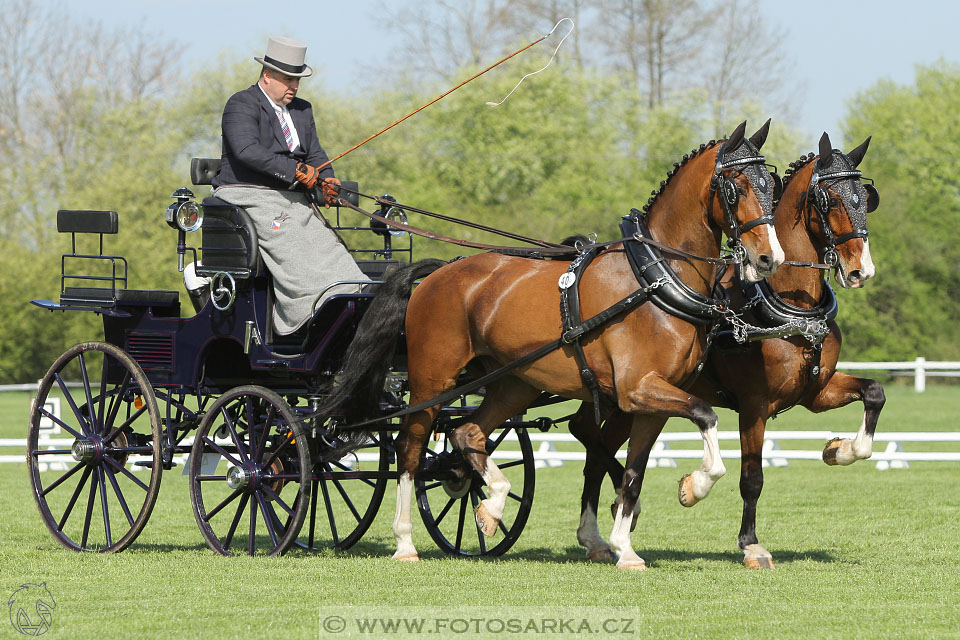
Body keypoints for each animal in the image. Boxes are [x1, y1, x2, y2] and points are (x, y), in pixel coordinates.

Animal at [332, 119, 788, 564]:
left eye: (772, 183)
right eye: (736, 187)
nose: (771, 259)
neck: (655, 278)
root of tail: (441, 271)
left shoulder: (653, 402)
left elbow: (634, 474)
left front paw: (624, 547)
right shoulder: (637, 389)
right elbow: (707, 417)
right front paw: (693, 488)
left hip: (514, 383)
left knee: (467, 434)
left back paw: (491, 505)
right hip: (433, 381)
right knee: (410, 449)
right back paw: (405, 541)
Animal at [568, 132, 884, 568]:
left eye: (865, 198)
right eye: (830, 200)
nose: (860, 270)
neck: (787, 304)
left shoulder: (816, 392)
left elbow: (874, 393)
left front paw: (840, 449)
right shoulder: (754, 405)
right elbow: (752, 477)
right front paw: (749, 543)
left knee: (593, 445)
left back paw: (602, 528)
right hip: (627, 396)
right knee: (590, 439)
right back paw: (612, 520)